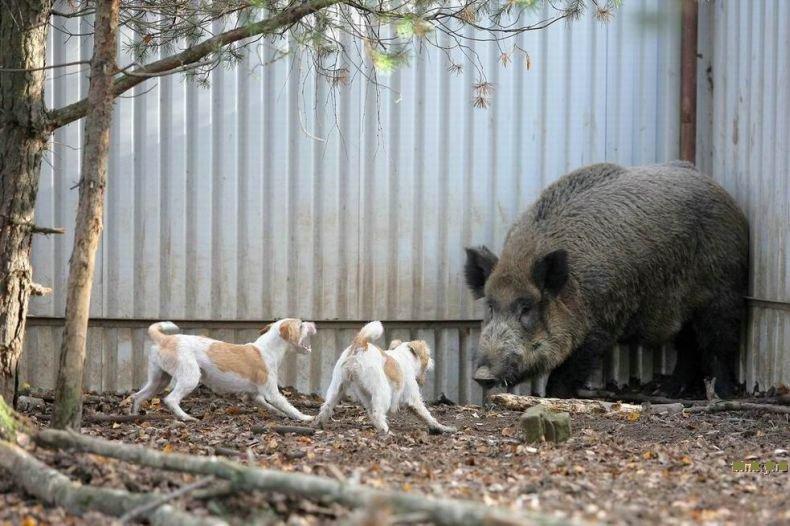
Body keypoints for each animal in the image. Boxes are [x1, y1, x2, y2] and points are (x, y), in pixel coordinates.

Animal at [131, 318, 318, 424]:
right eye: (301, 325)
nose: (314, 323)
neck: (268, 348)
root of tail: (165, 339)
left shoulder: (255, 395)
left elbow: (272, 406)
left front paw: (279, 414)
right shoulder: (272, 393)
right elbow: (290, 406)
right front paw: (306, 418)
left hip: (158, 380)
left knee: (137, 396)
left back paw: (134, 415)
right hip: (190, 377)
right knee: (170, 399)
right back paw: (187, 418)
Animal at [312, 324, 454, 436]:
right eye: (428, 354)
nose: (432, 361)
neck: (405, 357)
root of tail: (360, 344)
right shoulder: (413, 399)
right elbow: (427, 415)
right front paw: (441, 427)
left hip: (337, 387)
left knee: (326, 407)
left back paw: (319, 423)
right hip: (383, 391)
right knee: (377, 413)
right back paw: (385, 430)